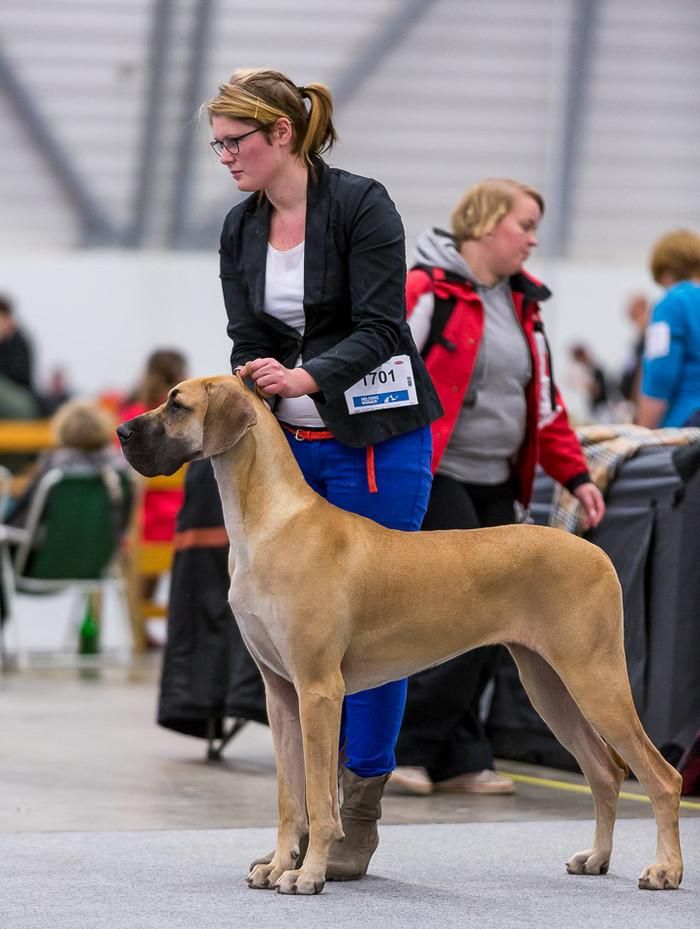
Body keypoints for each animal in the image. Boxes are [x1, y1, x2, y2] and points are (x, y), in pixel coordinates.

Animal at [117, 374, 683, 896]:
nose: (121, 432)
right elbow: (289, 797)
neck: (270, 521)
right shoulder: (281, 694)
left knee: (660, 775)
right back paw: (597, 857)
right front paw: (279, 865)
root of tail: (597, 552)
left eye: (177, 404)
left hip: (594, 678)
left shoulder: (320, 691)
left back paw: (666, 870)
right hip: (548, 685)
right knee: (605, 771)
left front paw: (309, 874)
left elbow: (320, 799)